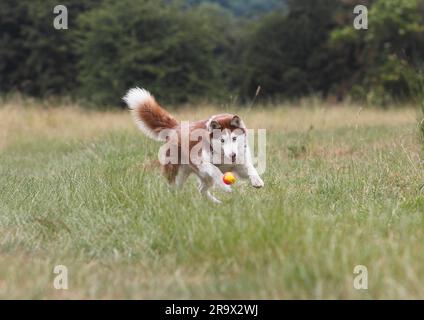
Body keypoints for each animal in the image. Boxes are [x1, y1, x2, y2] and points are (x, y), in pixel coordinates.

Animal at [122, 87, 264, 202]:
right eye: (222, 140)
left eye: (234, 138)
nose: (233, 155)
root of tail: (176, 126)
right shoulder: (201, 162)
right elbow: (216, 171)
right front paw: (225, 187)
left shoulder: (239, 164)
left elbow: (251, 168)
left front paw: (257, 181)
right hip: (178, 171)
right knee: (174, 188)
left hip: (202, 176)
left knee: (201, 189)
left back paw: (216, 203)